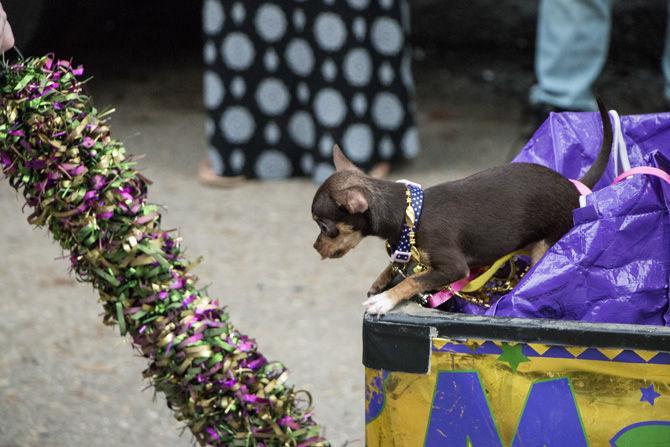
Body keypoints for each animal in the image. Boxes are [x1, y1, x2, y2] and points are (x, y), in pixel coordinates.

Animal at [314, 103, 616, 316]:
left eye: (325, 227)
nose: (316, 247)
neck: (411, 214)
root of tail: (573, 186)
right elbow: (398, 265)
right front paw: (381, 281)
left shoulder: (453, 268)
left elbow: (414, 281)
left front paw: (385, 299)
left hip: (545, 246)